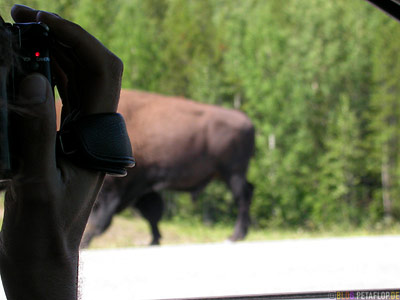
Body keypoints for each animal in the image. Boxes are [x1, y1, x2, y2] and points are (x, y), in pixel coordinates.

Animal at [67, 89, 255, 248]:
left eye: (94, 203)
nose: (82, 241)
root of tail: (247, 121)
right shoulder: (143, 185)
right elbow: (152, 212)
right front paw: (154, 240)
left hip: (233, 173)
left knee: (242, 197)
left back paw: (234, 236)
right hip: (231, 174)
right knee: (248, 192)